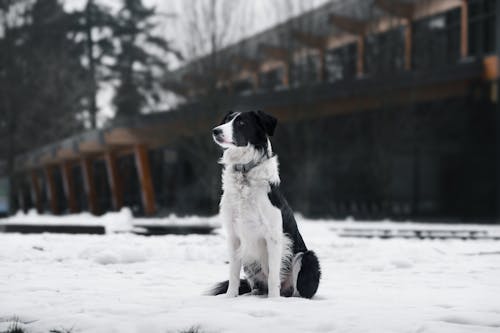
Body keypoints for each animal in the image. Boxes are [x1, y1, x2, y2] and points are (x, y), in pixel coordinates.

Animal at [210, 110, 320, 296]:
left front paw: (273, 300)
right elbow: (233, 273)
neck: (244, 172)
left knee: (296, 289)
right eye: (226, 120)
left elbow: (274, 275)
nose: (215, 131)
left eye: (241, 123)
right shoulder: (233, 236)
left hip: (306, 257)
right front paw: (230, 297)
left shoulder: (274, 236)